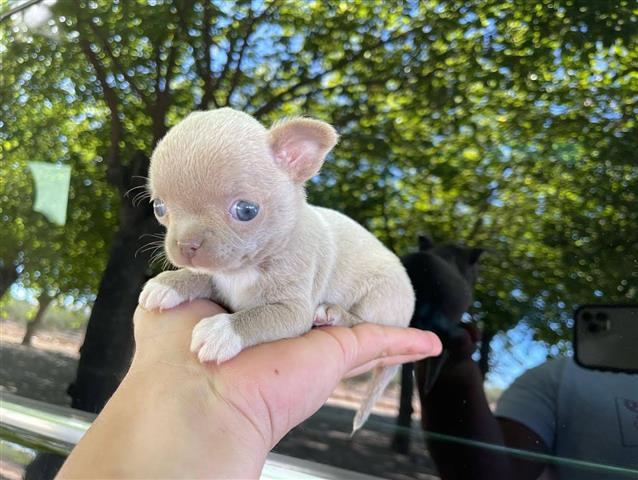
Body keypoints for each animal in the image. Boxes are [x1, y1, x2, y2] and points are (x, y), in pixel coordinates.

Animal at [140, 109, 418, 432]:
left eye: (246, 210)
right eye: (159, 208)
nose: (185, 245)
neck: (246, 269)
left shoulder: (293, 310)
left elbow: (258, 316)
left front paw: (222, 329)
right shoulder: (219, 280)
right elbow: (201, 277)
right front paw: (169, 284)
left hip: (379, 299)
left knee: (361, 321)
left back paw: (333, 313)